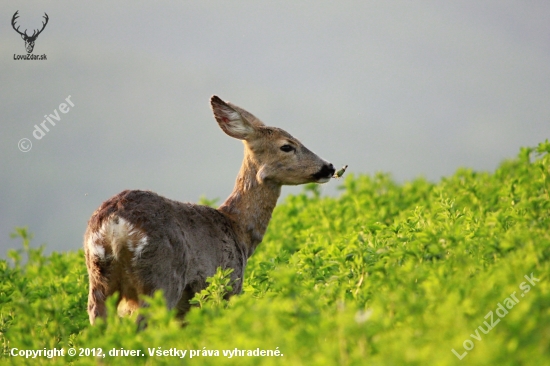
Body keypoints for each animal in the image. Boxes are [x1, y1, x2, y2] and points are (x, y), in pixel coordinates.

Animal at [84, 96, 336, 324]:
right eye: (287, 146)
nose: (329, 167)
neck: (238, 230)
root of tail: (116, 224)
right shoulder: (228, 284)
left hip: (100, 279)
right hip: (161, 278)